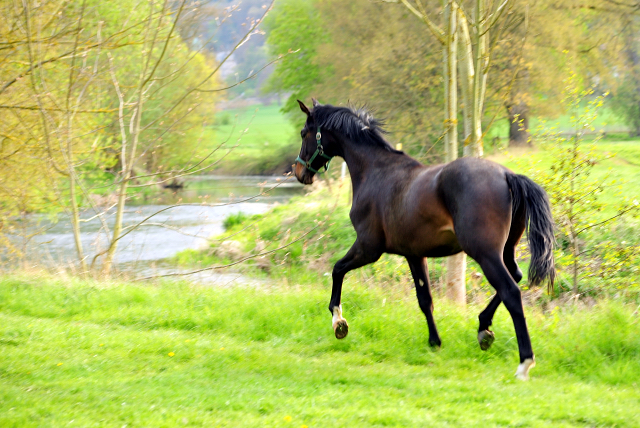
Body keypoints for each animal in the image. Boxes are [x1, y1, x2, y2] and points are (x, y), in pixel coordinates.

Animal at [296, 99, 556, 378]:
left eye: (303, 133)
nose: (298, 171)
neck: (376, 172)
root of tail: (507, 175)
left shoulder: (368, 247)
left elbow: (337, 269)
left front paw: (339, 323)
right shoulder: (414, 254)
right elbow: (425, 300)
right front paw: (435, 342)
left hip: (485, 253)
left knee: (511, 292)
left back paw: (524, 362)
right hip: (505, 250)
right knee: (515, 277)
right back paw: (484, 329)